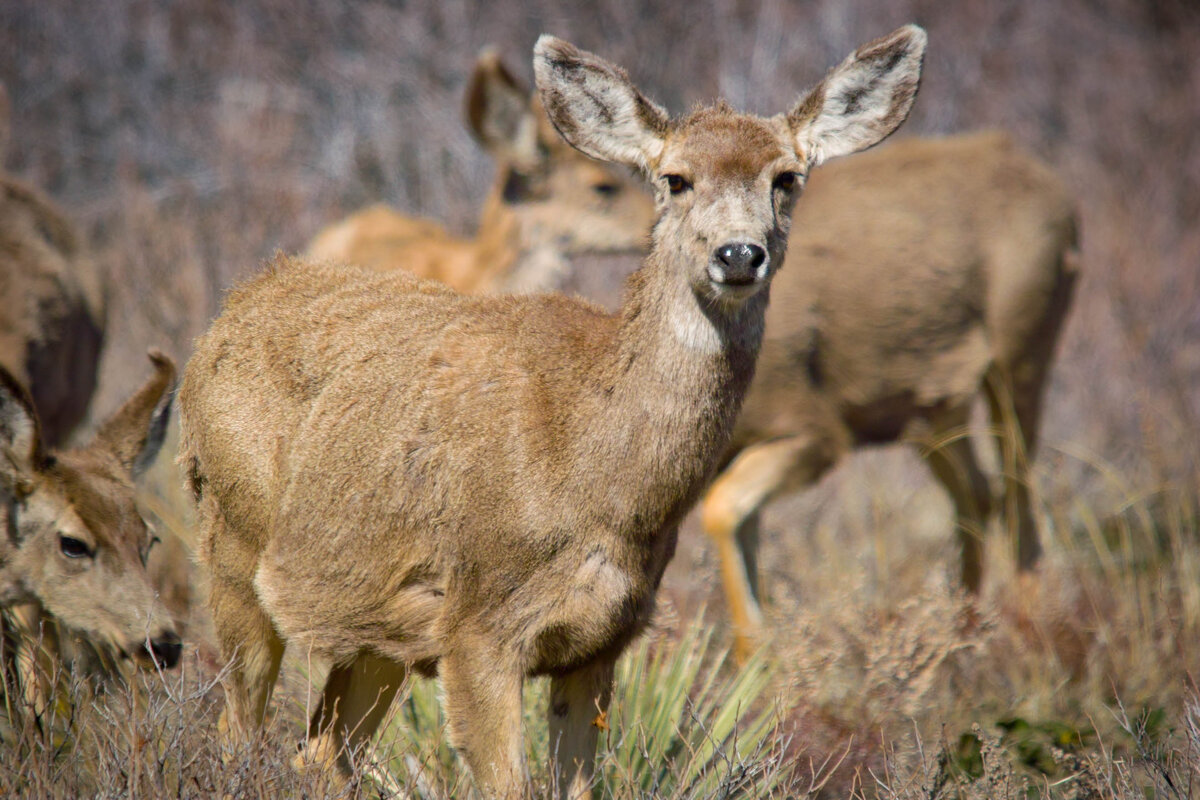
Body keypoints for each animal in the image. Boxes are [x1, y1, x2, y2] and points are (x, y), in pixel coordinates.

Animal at [699, 131, 1081, 661]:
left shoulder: (813, 431)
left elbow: (721, 512)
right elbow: (740, 532)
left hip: (1021, 356)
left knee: (1018, 495)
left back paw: (1030, 638)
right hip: (935, 410)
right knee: (979, 493)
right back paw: (962, 634)